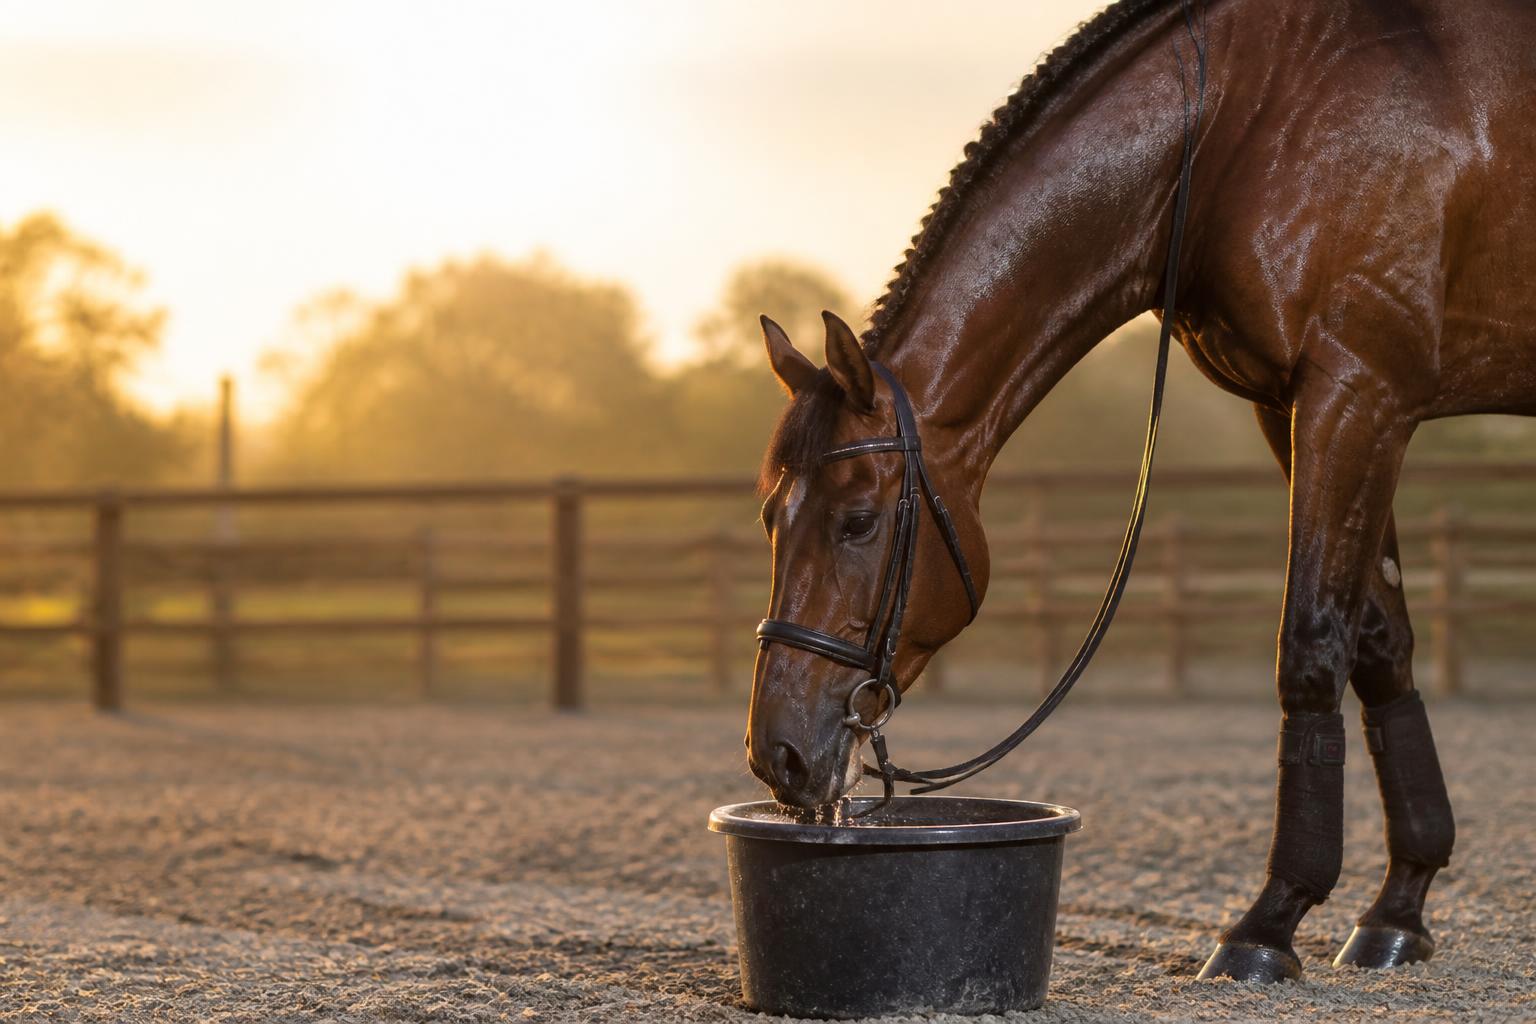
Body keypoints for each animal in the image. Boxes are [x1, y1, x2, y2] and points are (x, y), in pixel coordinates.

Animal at [745, 0, 1536, 984]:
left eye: (856, 521)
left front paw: (1268, 923)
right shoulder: (1304, 408)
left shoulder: (1358, 395)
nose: (778, 754)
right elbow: (1381, 644)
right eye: (771, 517)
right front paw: (1399, 909)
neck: (1250, 111)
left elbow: (1313, 645)